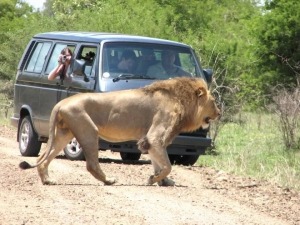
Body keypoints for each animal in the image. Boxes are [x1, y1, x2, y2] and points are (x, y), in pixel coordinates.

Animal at [19, 77, 220, 186]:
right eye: (213, 101)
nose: (219, 113)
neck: (182, 101)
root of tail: (61, 103)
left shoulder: (149, 141)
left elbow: (158, 163)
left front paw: (163, 182)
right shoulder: (155, 136)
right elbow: (167, 165)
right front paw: (153, 179)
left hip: (63, 134)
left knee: (42, 157)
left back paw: (47, 180)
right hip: (88, 129)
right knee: (91, 164)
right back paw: (109, 180)